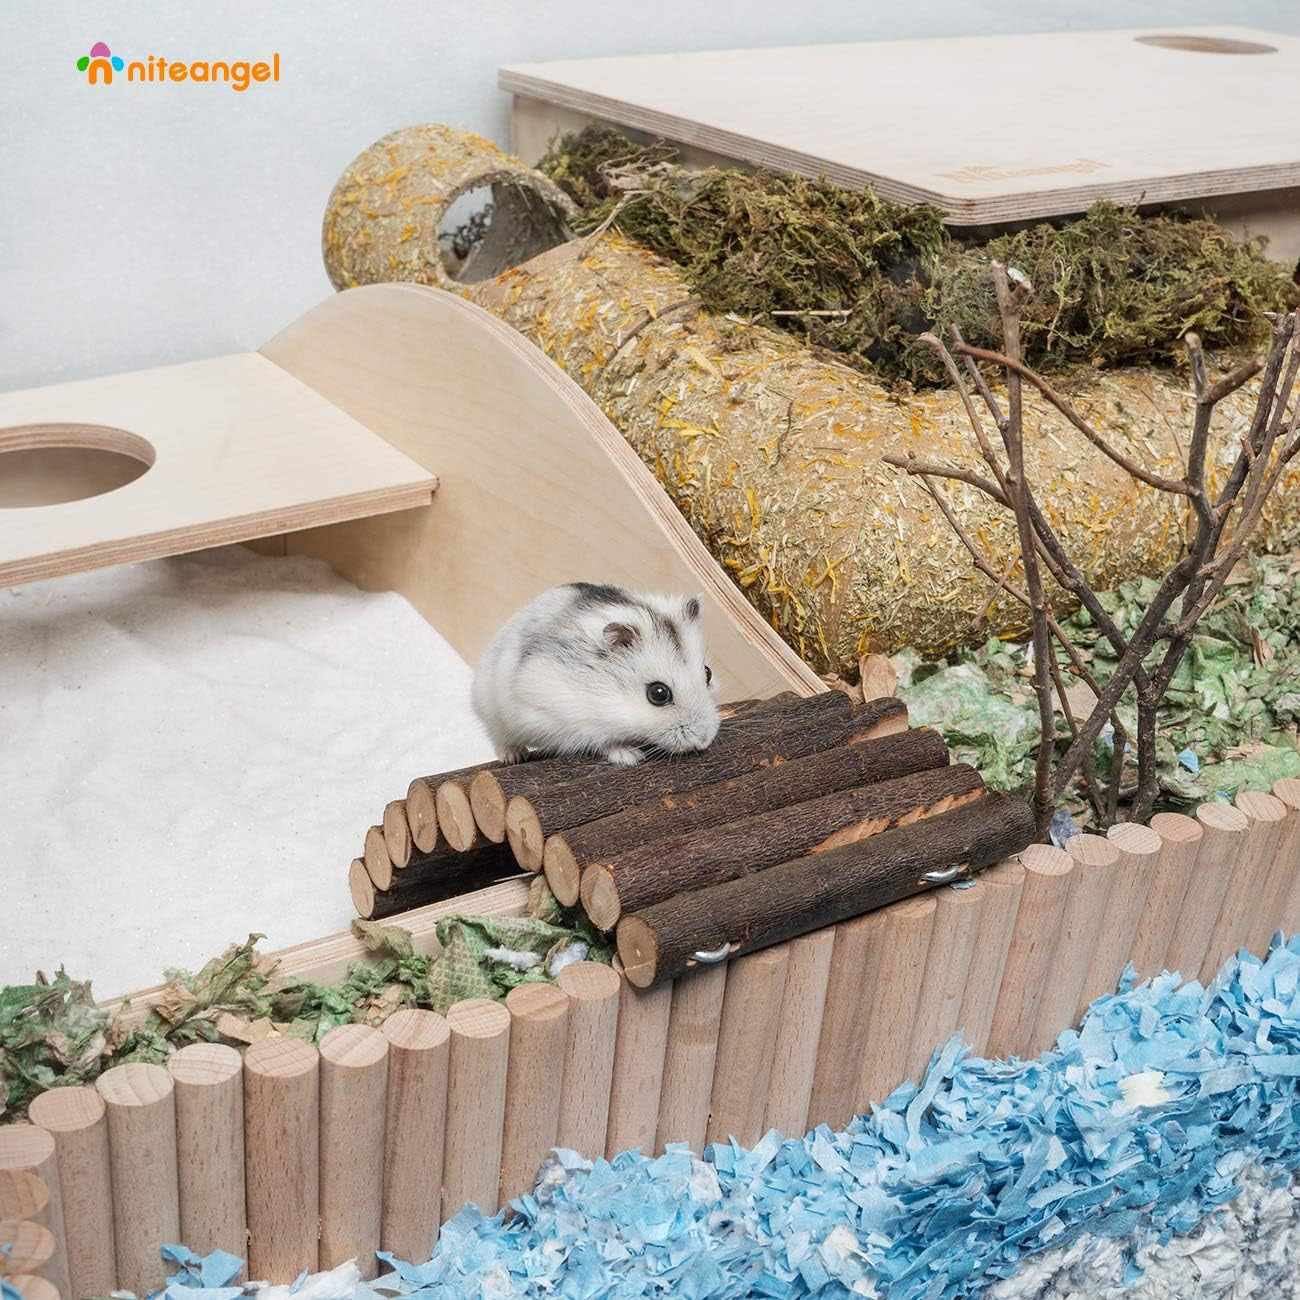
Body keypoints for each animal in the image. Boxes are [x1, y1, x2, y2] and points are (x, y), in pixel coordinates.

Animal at [472, 582, 722, 765]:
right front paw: (631, 757)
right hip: (491, 711)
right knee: (499, 738)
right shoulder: (561, 719)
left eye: (708, 673)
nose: (703, 742)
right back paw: (514, 757)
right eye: (658, 694)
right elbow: (602, 741)